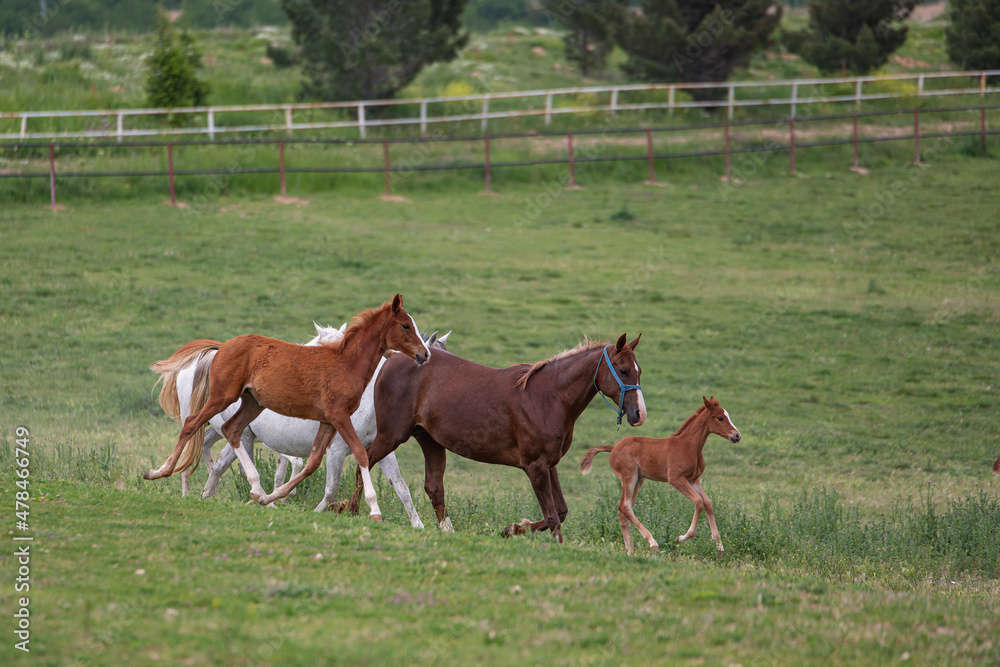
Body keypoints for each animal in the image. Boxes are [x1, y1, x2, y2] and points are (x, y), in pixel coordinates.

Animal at [143, 294, 431, 520]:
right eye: (406, 325)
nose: (424, 355)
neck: (346, 364)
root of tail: (222, 346)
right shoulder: (339, 418)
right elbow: (360, 455)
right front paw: (374, 510)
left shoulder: (328, 422)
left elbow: (313, 463)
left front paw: (274, 497)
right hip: (222, 397)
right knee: (192, 425)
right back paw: (159, 472)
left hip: (252, 404)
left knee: (229, 432)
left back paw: (256, 491)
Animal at [198, 329, 451, 526]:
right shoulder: (336, 449)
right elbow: (331, 489)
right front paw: (323, 511)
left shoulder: (381, 449)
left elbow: (401, 488)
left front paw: (419, 526)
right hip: (245, 437)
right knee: (234, 466)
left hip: (241, 436)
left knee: (219, 464)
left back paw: (207, 496)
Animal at [360, 333, 645, 541]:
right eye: (623, 370)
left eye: (638, 370)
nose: (638, 414)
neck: (549, 397)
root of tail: (392, 358)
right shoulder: (534, 466)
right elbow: (553, 517)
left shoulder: (549, 464)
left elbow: (561, 512)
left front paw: (512, 529)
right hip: (392, 435)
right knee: (364, 461)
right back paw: (356, 511)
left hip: (429, 440)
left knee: (433, 487)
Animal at [580, 396, 741, 555]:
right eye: (720, 418)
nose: (737, 435)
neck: (688, 446)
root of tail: (613, 448)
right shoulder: (676, 479)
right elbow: (698, 502)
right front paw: (680, 538)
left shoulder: (693, 480)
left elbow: (708, 503)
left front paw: (719, 546)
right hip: (629, 477)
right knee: (625, 507)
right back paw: (652, 543)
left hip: (639, 479)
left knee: (623, 509)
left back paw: (630, 551)